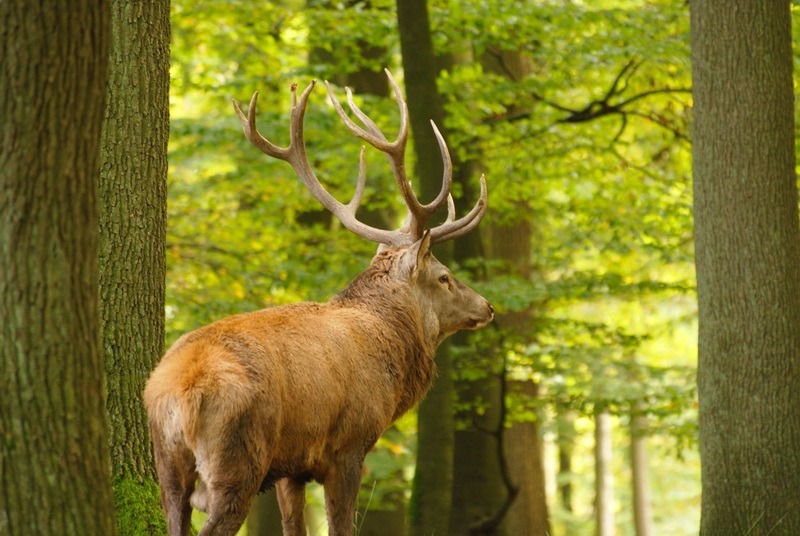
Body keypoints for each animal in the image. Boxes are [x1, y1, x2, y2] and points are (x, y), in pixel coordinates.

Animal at [143, 69, 493, 536]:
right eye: (445, 277)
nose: (487, 306)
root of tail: (181, 391)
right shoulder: (349, 445)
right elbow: (341, 526)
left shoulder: (292, 466)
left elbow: (295, 527)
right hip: (237, 459)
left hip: (167, 468)